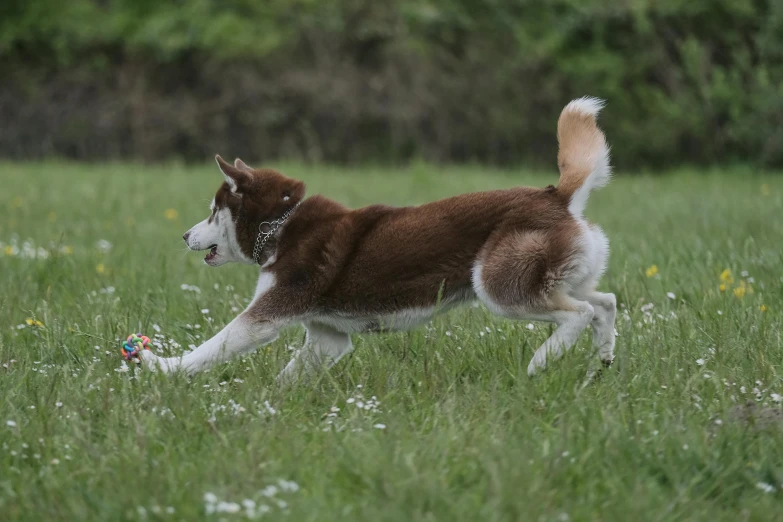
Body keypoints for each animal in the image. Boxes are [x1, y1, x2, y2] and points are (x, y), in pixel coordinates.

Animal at [142, 97, 620, 380]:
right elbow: (291, 374)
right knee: (604, 302)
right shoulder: (327, 338)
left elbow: (212, 347)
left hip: (499, 287)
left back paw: (542, 360)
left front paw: (161, 366)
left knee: (577, 312)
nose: (184, 234)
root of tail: (556, 195)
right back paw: (603, 358)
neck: (281, 223)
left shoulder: (267, 315)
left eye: (212, 210)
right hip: (559, 276)